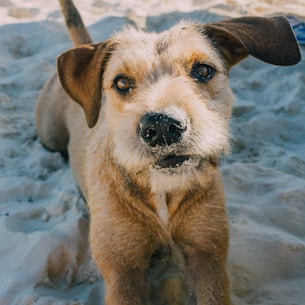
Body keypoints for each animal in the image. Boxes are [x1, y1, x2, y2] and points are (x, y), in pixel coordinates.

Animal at [35, 1, 300, 302]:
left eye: (203, 70)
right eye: (122, 83)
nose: (161, 127)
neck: (163, 190)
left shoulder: (208, 254)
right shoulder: (122, 270)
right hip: (48, 132)